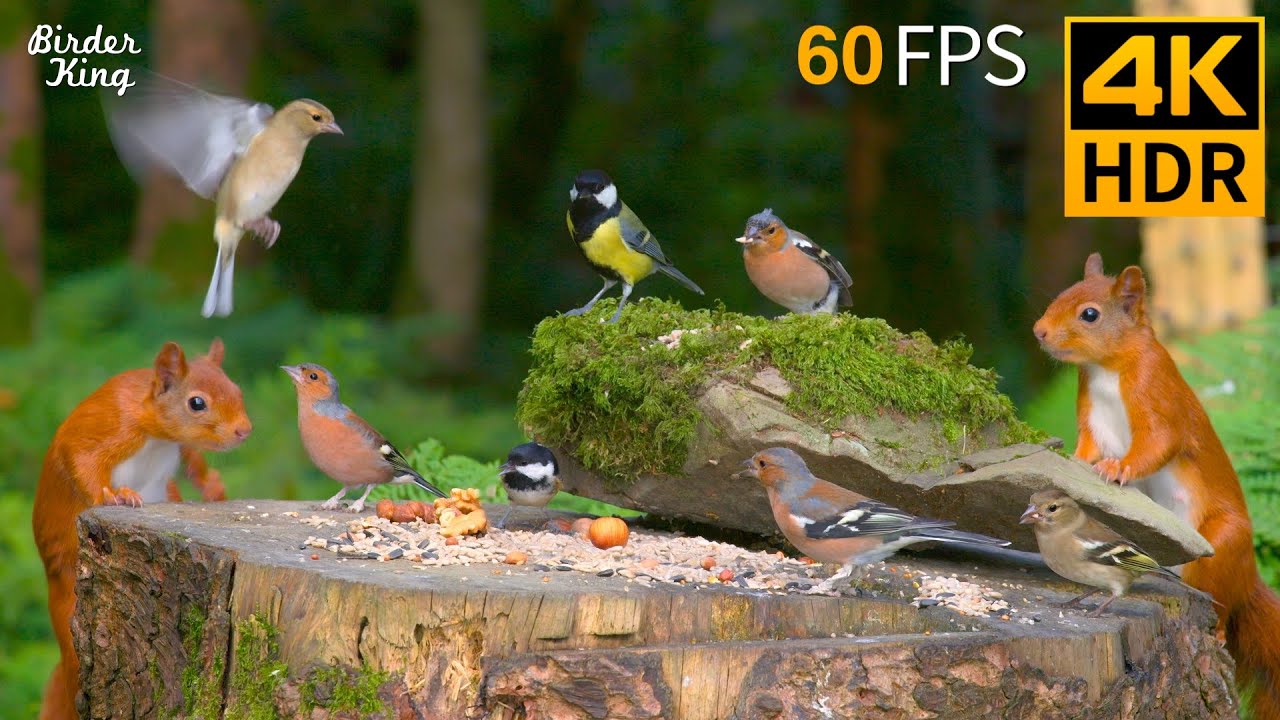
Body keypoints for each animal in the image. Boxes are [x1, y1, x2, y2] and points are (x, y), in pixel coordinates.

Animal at [32, 338, 252, 720]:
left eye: (236, 389)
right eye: (197, 403)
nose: (244, 430)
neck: (156, 434)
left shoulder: (177, 445)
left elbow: (194, 459)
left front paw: (213, 488)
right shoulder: (110, 424)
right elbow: (81, 459)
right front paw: (114, 496)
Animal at [1034, 252, 1280, 719]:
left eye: (1089, 314)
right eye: (1059, 294)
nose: (1038, 330)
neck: (1107, 368)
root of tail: (1249, 578)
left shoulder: (1157, 393)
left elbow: (1160, 442)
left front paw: (1118, 469)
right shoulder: (1090, 415)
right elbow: (1086, 448)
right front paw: (1074, 460)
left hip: (1220, 551)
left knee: (1220, 604)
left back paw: (1219, 629)